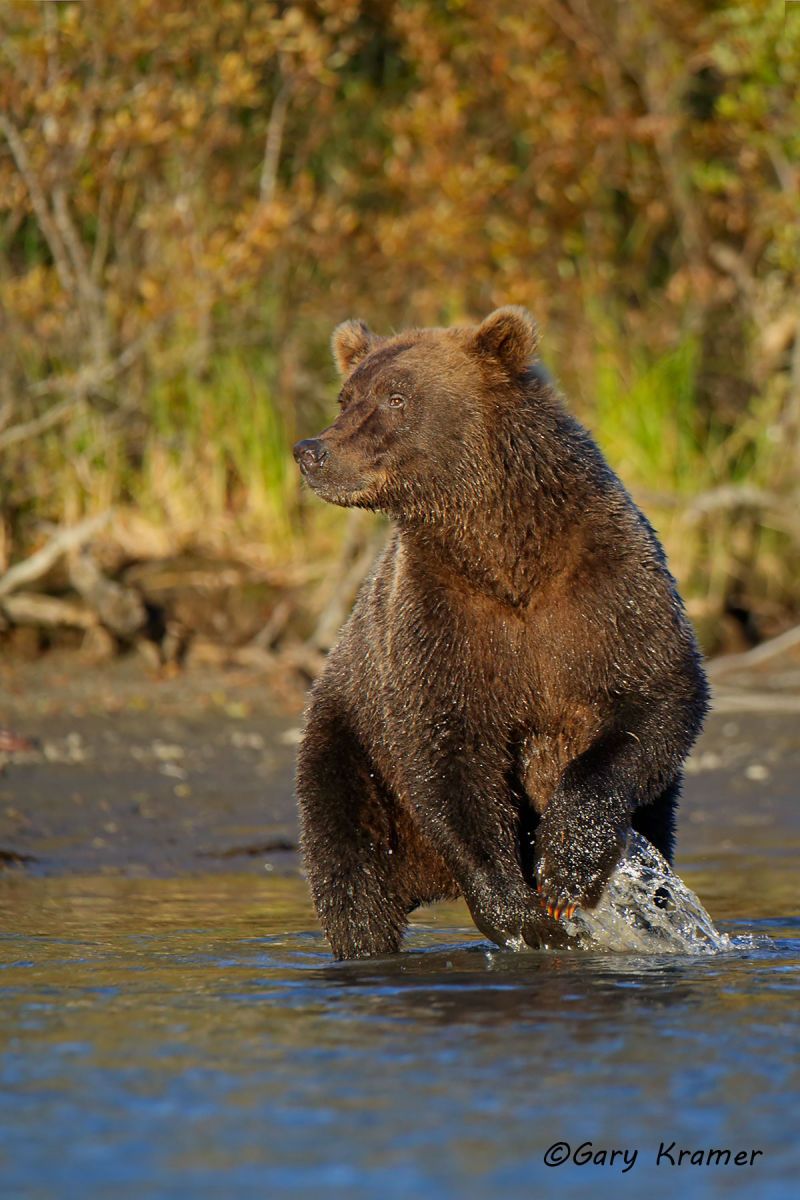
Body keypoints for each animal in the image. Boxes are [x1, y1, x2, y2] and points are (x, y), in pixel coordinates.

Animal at [293, 307, 709, 959]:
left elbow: (655, 701)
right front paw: (520, 911)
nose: (312, 451)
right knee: (352, 879)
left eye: (396, 397)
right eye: (347, 396)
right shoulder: (439, 618)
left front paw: (565, 866)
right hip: (347, 749)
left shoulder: (606, 589)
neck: (507, 555)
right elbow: (446, 751)